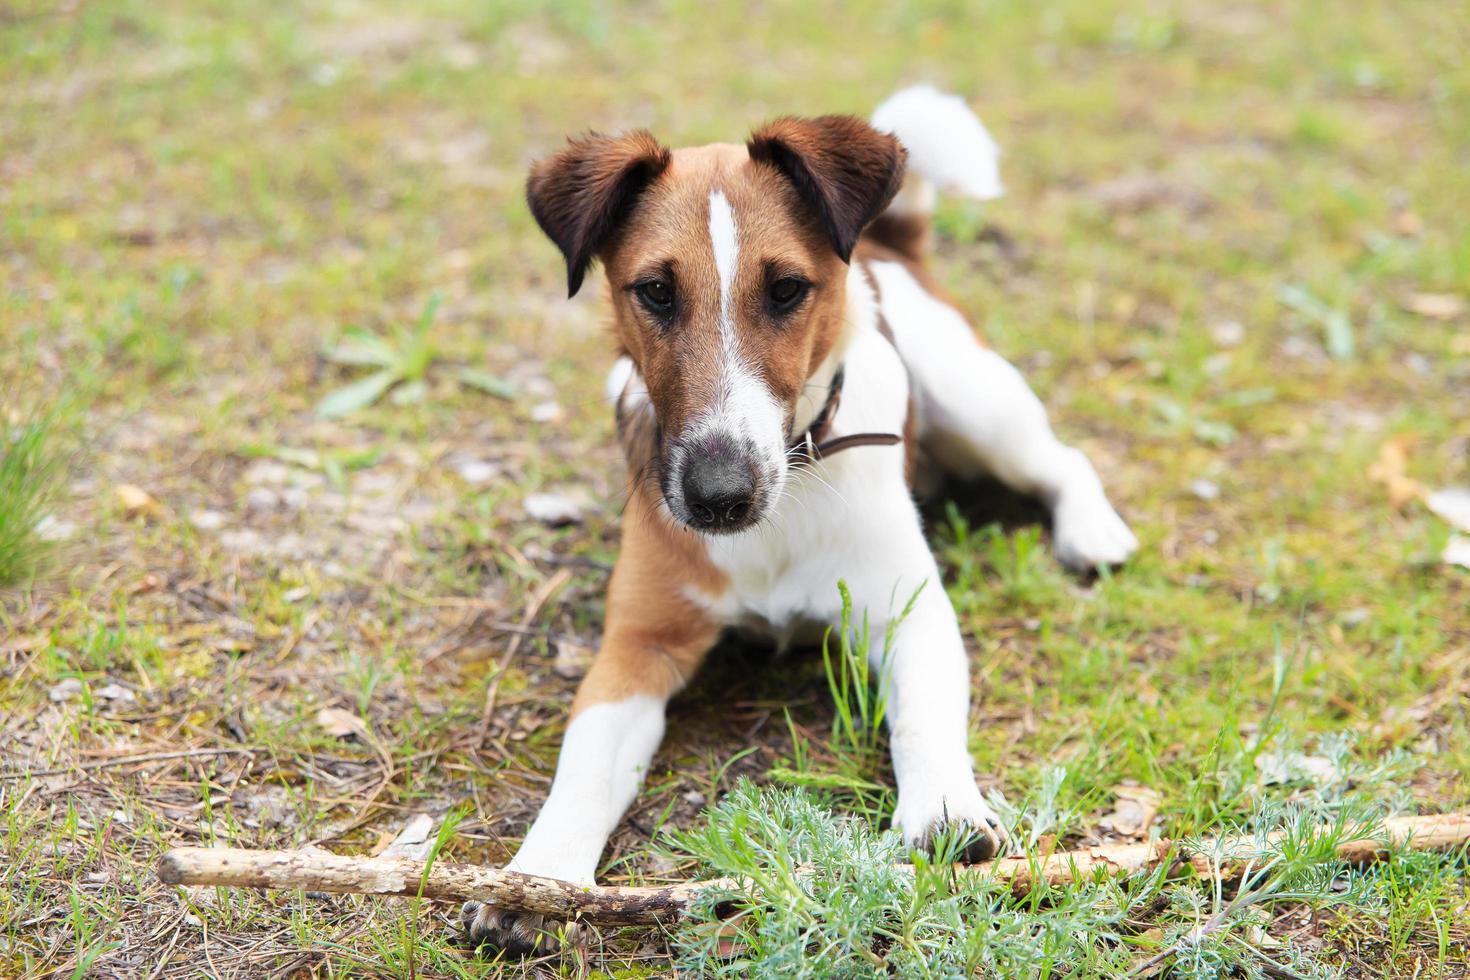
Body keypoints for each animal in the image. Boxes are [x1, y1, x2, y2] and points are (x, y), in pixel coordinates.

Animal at [461, 88, 1134, 952]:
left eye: (785, 289)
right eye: (655, 292)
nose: (719, 496)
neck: (782, 507)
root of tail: (890, 239)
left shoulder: (912, 613)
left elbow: (923, 716)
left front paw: (942, 806)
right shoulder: (636, 647)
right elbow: (582, 768)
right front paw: (536, 879)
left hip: (981, 407)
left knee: (1063, 458)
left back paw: (1092, 530)